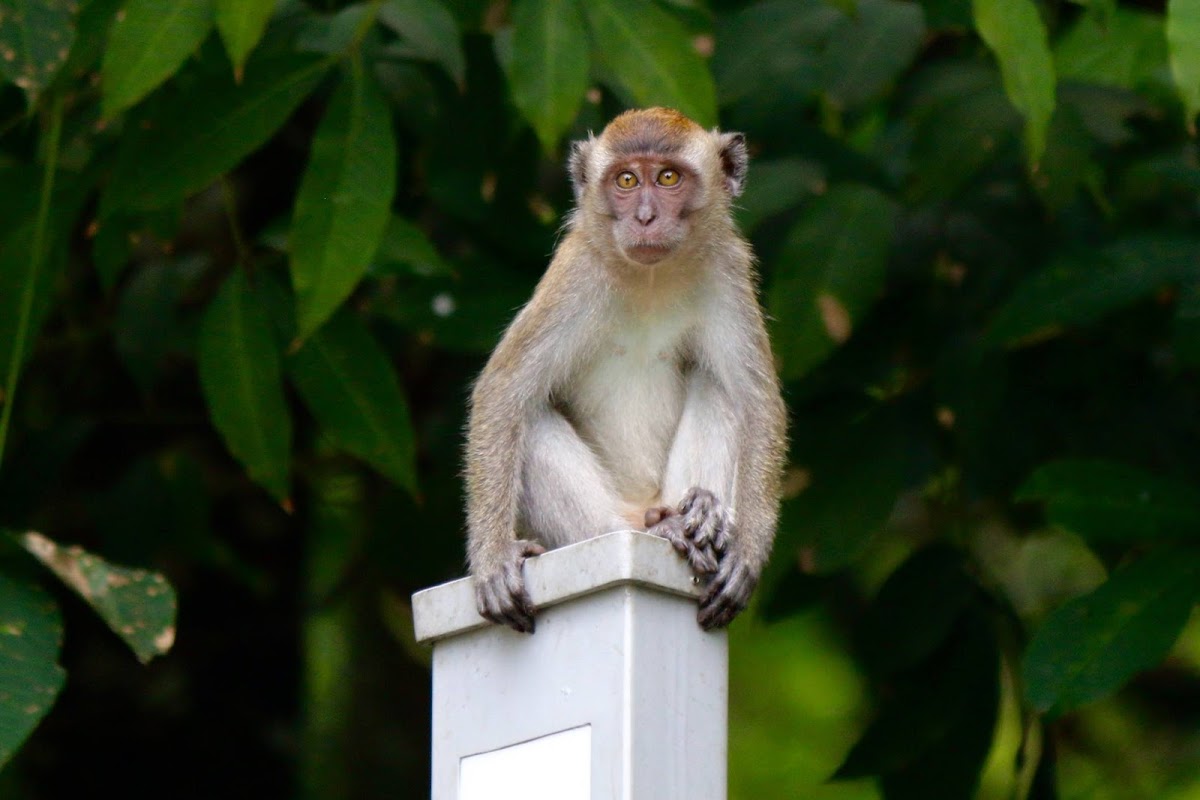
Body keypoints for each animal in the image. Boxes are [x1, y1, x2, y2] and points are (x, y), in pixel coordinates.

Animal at [460, 104, 787, 633]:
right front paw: (491, 561)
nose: (645, 217)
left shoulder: (728, 270)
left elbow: (758, 404)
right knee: (531, 420)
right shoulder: (575, 274)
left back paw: (698, 515)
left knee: (719, 387)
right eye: (627, 180)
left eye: (669, 177)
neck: (649, 278)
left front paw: (747, 553)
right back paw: (654, 527)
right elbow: (504, 391)